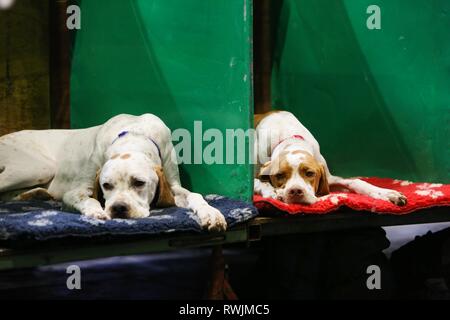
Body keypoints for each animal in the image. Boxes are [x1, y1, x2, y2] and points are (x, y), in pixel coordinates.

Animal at [0, 114, 227, 231]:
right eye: (106, 186)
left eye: (139, 183)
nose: (118, 208)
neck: (135, 135)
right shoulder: (76, 191)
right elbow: (88, 199)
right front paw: (96, 212)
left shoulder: (174, 188)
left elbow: (195, 196)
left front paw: (211, 213)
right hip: (40, 167)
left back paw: (35, 194)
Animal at [253, 110, 408, 205]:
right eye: (279, 175)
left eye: (310, 173)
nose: (296, 191)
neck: (289, 139)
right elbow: (260, 182)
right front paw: (272, 192)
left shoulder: (329, 177)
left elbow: (356, 181)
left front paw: (387, 193)